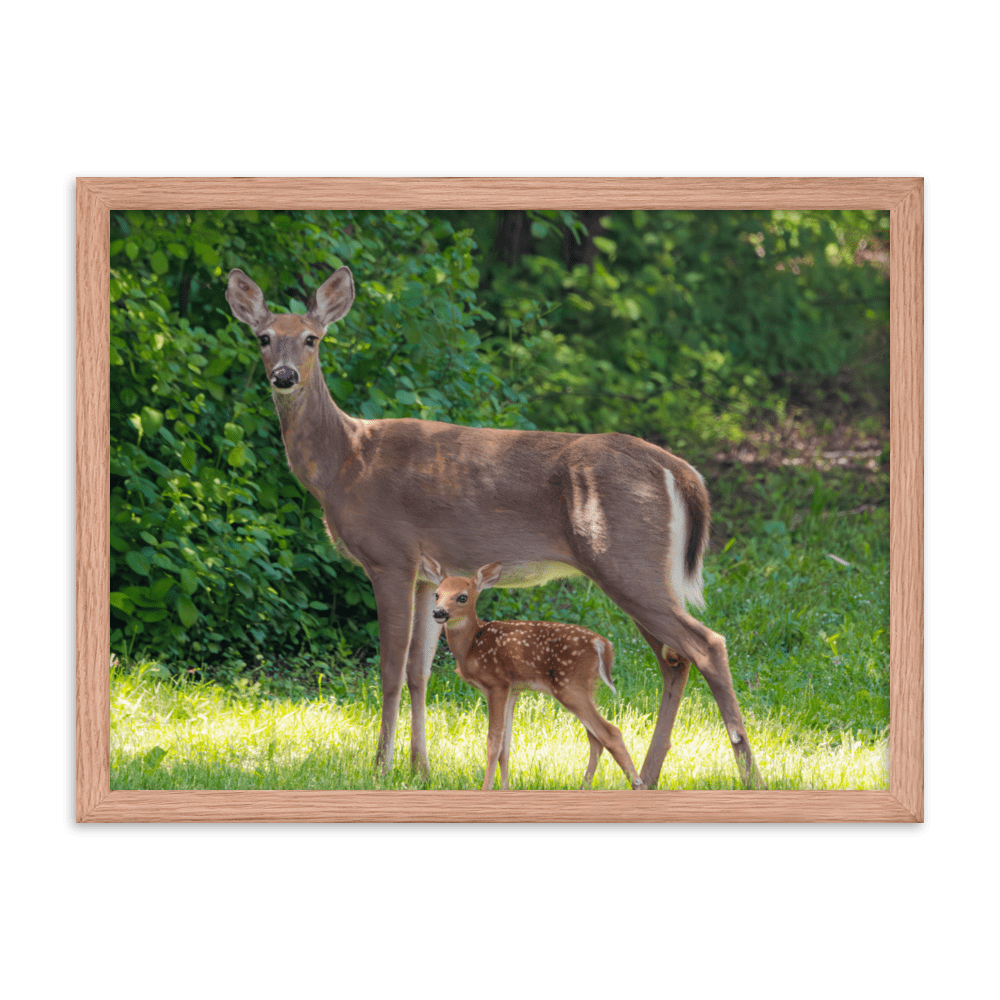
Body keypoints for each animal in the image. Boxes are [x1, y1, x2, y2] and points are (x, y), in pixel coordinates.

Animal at [227, 264, 764, 788]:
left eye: (312, 338)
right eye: (264, 337)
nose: (284, 376)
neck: (345, 462)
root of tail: (680, 470)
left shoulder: (389, 556)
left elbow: (390, 670)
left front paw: (380, 769)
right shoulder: (425, 575)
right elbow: (420, 671)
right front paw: (420, 770)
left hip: (626, 560)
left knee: (707, 645)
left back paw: (748, 775)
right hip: (638, 570)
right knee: (675, 660)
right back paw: (649, 777)